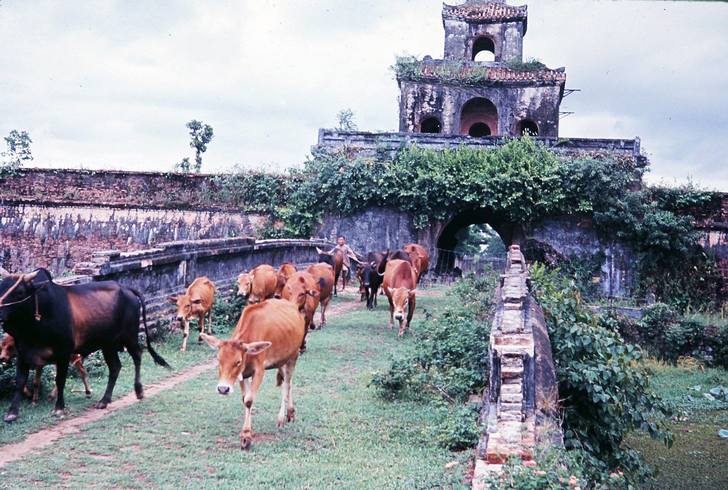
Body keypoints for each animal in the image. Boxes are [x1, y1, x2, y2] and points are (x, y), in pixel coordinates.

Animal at [0, 268, 170, 422]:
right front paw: (12, 413)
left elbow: (60, 380)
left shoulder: (63, 353)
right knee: (115, 367)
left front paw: (59, 408)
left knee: (137, 356)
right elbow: (19, 382)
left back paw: (139, 390)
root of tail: (126, 288)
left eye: (19, 292)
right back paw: (104, 401)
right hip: (107, 344)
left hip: (130, 337)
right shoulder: (23, 353)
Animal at [200, 298, 305, 450]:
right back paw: (290, 413)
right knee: (287, 382)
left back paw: (281, 419)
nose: (223, 389)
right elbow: (245, 399)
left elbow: (249, 400)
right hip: (281, 361)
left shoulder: (259, 370)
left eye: (238, 361)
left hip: (293, 355)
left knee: (286, 385)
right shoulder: (243, 374)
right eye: (218, 359)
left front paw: (246, 436)